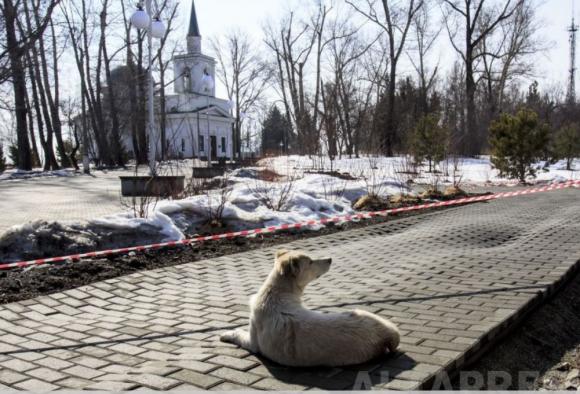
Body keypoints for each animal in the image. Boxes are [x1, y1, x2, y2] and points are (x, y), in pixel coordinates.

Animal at [220, 251, 402, 368]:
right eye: (311, 261)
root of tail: (386, 334)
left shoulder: (253, 343)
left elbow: (237, 332)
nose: (330, 259)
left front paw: (227, 333)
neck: (276, 293)